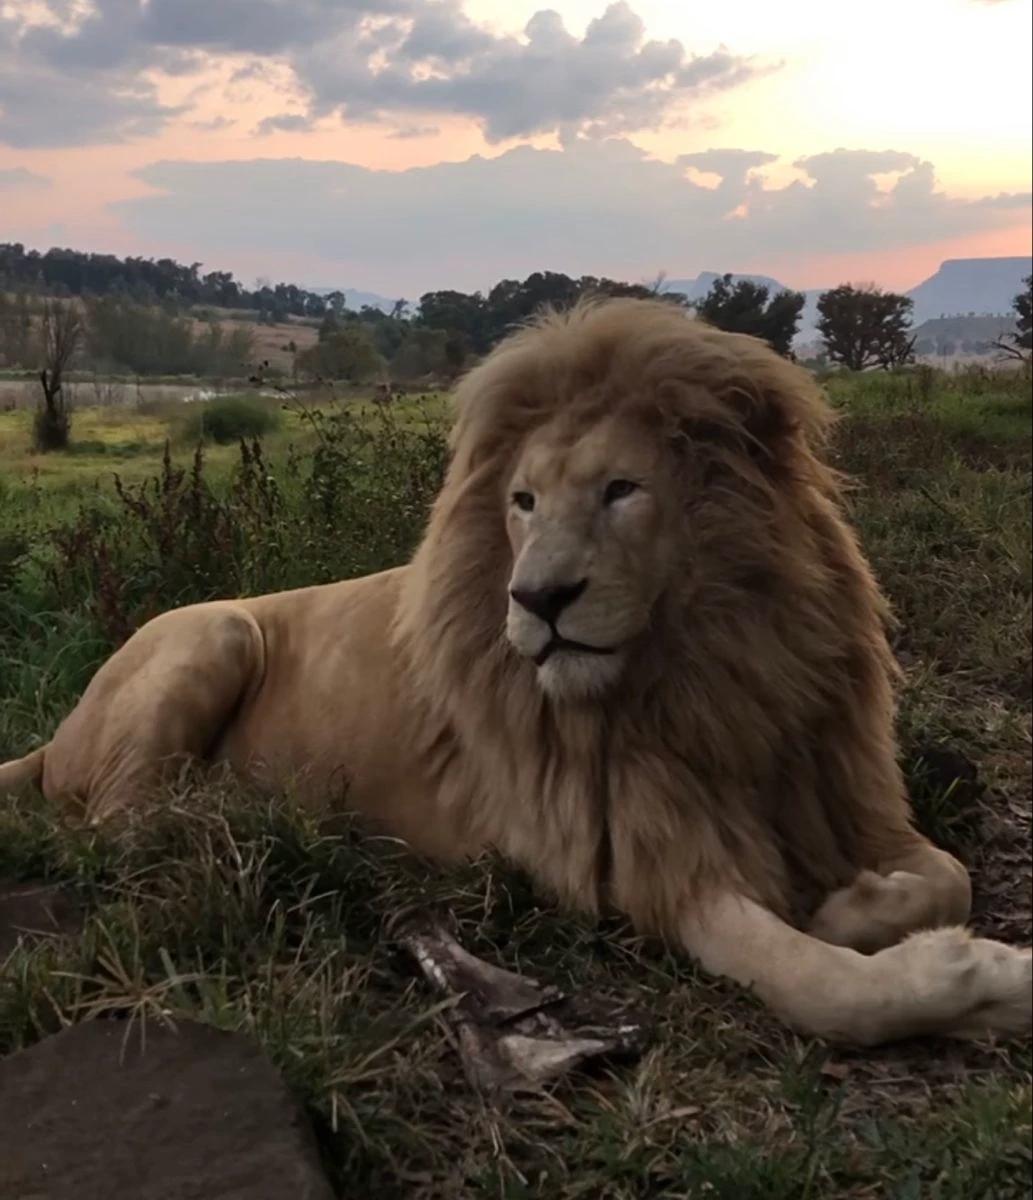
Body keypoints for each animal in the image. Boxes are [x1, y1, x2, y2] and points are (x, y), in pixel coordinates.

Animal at [2, 298, 1030, 1046]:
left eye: (622, 491)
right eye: (524, 502)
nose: (538, 599)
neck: (703, 675)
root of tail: (54, 738)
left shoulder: (836, 788)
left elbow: (945, 876)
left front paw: (856, 904)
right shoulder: (638, 867)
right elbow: (830, 992)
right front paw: (980, 976)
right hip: (214, 633)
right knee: (117, 829)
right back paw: (251, 817)